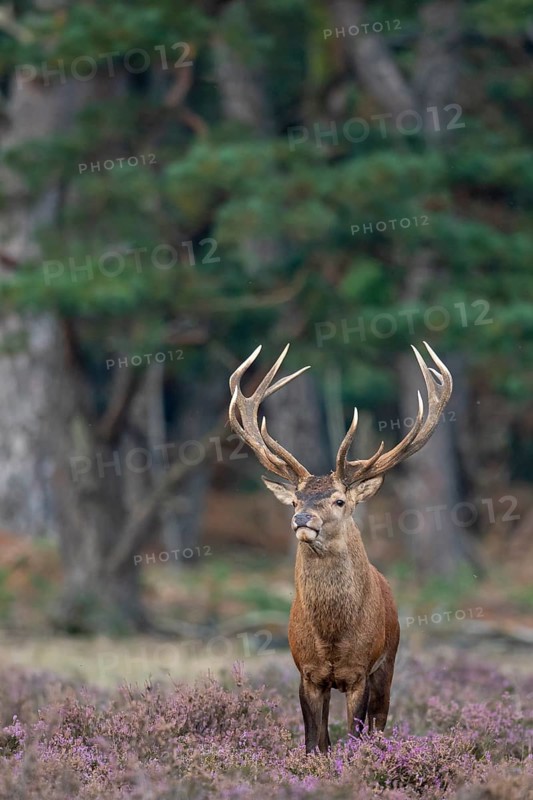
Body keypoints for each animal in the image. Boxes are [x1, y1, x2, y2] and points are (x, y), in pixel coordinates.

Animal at [228, 341, 453, 753]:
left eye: (339, 500)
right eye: (295, 500)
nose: (302, 519)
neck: (332, 637)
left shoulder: (360, 672)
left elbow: (356, 733)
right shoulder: (308, 673)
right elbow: (315, 740)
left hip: (389, 662)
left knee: (379, 723)